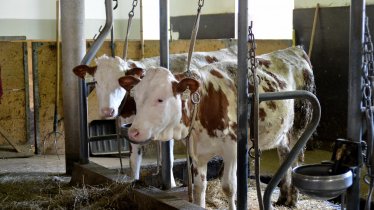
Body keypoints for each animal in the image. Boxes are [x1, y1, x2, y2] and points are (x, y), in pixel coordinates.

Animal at [118, 46, 314, 210]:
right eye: (135, 98)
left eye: (160, 99)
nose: (133, 131)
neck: (206, 102)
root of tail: (295, 49)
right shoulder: (197, 153)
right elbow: (200, 188)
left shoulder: (232, 149)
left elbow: (229, 187)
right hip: (283, 134)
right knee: (285, 155)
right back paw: (283, 198)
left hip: (300, 124)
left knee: (295, 159)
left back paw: (292, 199)